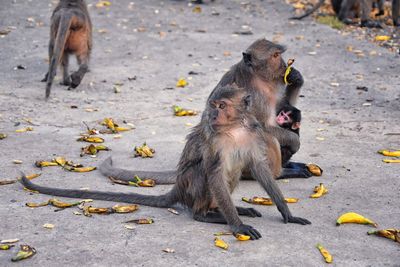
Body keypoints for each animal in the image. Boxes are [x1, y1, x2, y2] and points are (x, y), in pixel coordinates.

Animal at [19, 86, 310, 241]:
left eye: (222, 106)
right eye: (214, 105)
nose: (213, 115)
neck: (234, 128)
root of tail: (179, 188)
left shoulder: (253, 133)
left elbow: (260, 168)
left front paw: (287, 213)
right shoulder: (214, 139)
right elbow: (213, 171)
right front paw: (236, 225)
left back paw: (223, 210)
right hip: (190, 186)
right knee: (202, 172)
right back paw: (207, 214)